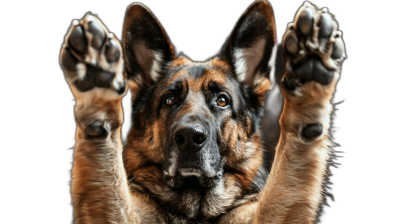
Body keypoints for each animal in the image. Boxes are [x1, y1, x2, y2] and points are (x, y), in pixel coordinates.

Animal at [58, 0, 344, 223]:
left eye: (222, 100)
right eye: (169, 100)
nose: (188, 138)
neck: (196, 207)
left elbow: (286, 173)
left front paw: (310, 78)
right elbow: (107, 173)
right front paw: (97, 85)